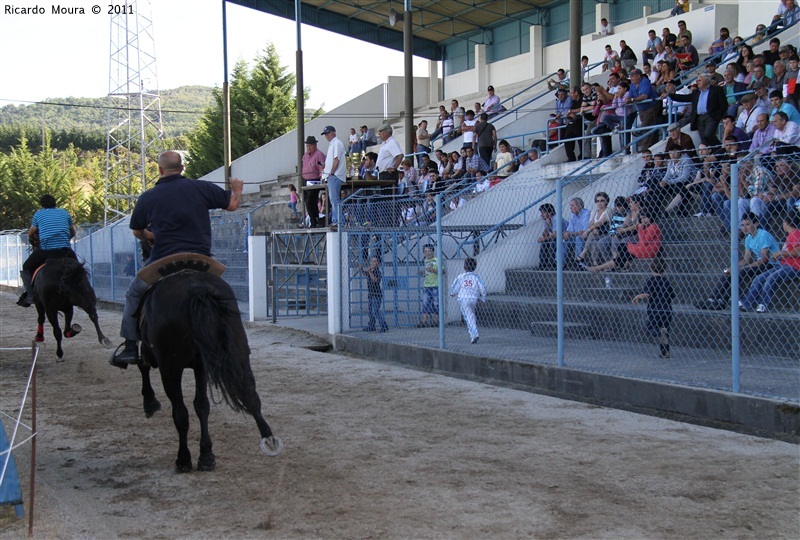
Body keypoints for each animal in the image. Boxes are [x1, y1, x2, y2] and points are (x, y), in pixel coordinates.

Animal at [138, 270, 284, 472]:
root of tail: (197, 290)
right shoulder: (201, 367)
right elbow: (202, 405)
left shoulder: (153, 354)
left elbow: (143, 366)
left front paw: (150, 403)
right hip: (236, 349)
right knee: (248, 393)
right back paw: (265, 438)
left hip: (170, 368)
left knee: (180, 413)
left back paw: (183, 459)